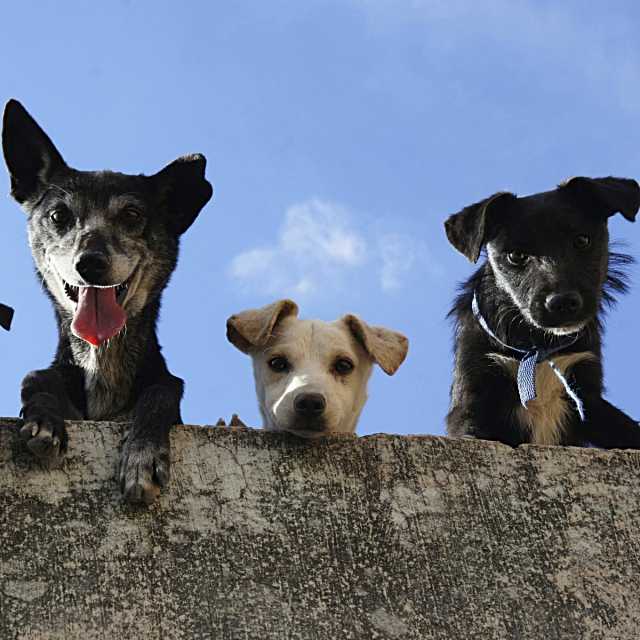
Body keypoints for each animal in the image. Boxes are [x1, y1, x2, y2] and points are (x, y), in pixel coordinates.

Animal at [1, 100, 212, 502]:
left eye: (132, 214)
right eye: (58, 215)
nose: (90, 263)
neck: (102, 365)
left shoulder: (164, 389)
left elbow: (162, 391)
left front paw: (142, 456)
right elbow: (35, 377)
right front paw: (44, 419)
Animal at [444, 178, 640, 448]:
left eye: (582, 241)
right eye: (516, 255)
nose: (562, 303)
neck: (538, 346)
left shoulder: (587, 395)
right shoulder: (473, 395)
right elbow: (470, 431)